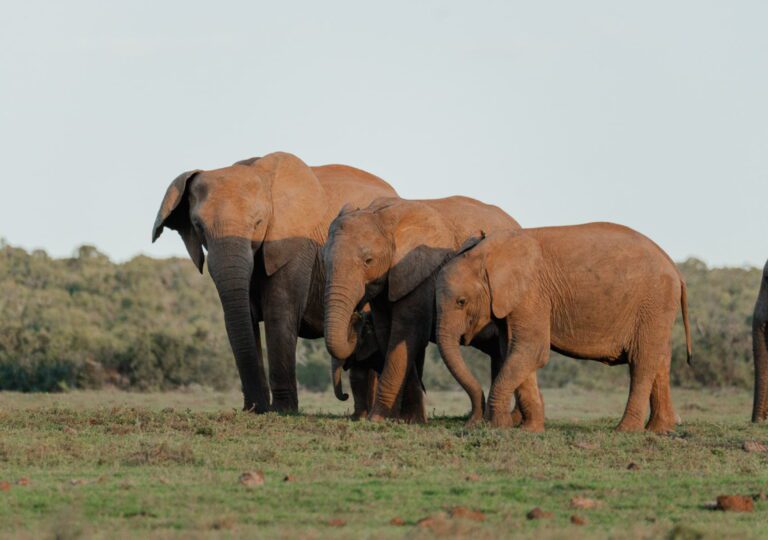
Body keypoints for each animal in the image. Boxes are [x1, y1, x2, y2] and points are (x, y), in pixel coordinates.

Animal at [154, 152, 400, 414]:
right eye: (198, 226)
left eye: (258, 223)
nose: (256, 407)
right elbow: (241, 318)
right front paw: (256, 409)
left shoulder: (293, 244)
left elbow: (279, 312)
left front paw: (282, 410)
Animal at [320, 196, 540, 424]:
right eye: (324, 261)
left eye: (368, 261)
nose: (355, 318)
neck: (383, 215)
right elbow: (389, 334)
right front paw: (407, 420)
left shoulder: (421, 273)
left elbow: (407, 332)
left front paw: (379, 419)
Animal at [436, 221, 692, 432]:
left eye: (461, 302)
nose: (471, 424)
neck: (487, 252)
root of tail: (675, 268)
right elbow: (514, 350)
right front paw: (529, 430)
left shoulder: (532, 294)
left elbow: (531, 350)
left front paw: (499, 426)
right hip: (656, 308)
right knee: (660, 359)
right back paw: (659, 429)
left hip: (654, 302)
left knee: (642, 361)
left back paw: (625, 430)